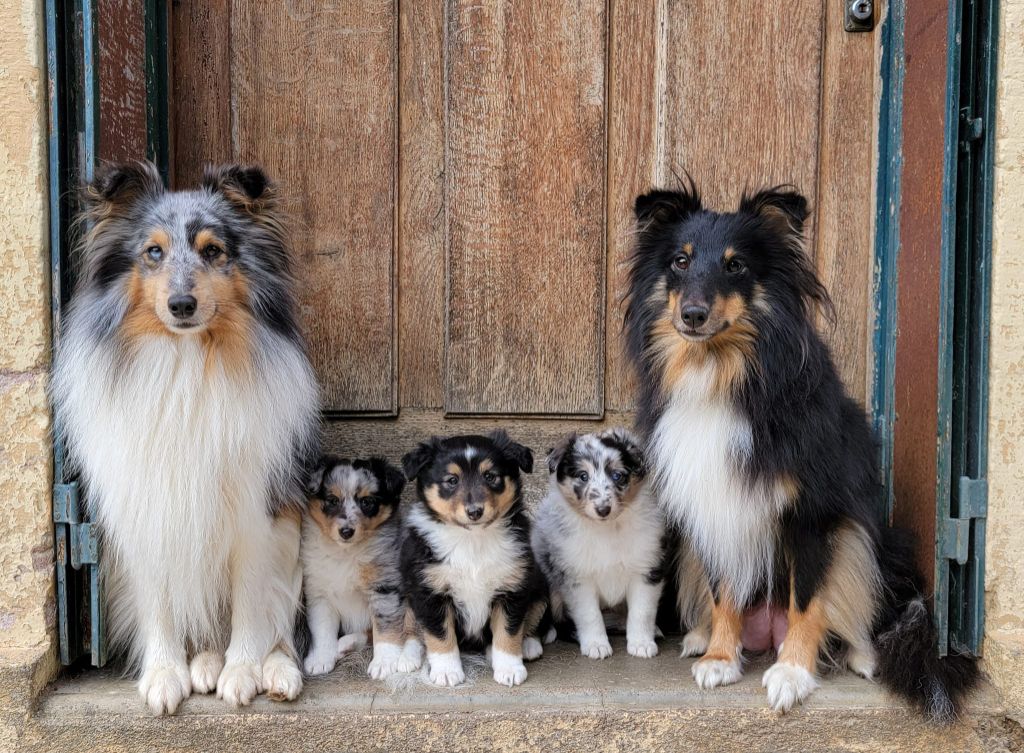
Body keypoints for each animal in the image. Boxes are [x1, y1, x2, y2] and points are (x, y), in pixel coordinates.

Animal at [48, 161, 317, 717]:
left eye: (213, 251)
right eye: (153, 252)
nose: (182, 304)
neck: (187, 362)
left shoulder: (255, 514)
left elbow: (251, 602)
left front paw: (243, 671)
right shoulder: (146, 509)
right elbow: (159, 601)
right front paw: (164, 675)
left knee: (280, 625)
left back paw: (275, 671)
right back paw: (204, 664)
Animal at [299, 456, 423, 680]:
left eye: (367, 502)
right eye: (332, 500)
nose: (346, 531)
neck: (346, 552)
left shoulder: (385, 589)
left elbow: (385, 628)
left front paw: (384, 663)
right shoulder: (319, 594)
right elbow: (322, 629)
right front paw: (321, 659)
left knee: (415, 631)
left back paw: (407, 659)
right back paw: (344, 644)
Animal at [399, 430, 548, 688]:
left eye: (490, 476)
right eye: (451, 480)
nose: (475, 512)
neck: (472, 539)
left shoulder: (512, 588)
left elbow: (508, 632)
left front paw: (509, 668)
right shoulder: (430, 592)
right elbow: (439, 635)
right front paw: (447, 672)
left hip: (539, 587)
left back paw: (528, 646)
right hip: (408, 593)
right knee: (413, 628)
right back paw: (407, 658)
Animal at [532, 430, 667, 659]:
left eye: (617, 476)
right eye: (583, 476)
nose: (603, 509)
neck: (607, 529)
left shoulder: (646, 570)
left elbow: (642, 611)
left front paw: (641, 643)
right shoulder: (577, 578)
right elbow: (589, 614)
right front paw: (596, 645)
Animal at [622, 179, 974, 721]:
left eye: (736, 266)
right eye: (680, 261)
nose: (692, 315)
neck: (721, 372)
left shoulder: (812, 513)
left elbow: (807, 601)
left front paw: (791, 674)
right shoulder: (714, 502)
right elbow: (724, 591)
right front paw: (721, 659)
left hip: (865, 538)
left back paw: (864, 656)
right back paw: (700, 637)